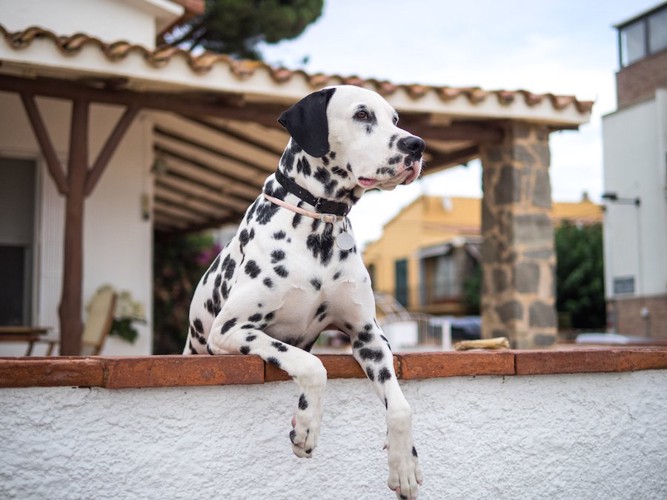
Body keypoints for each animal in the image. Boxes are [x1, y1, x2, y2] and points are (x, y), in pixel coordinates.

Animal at [185, 86, 426, 500]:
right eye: (362, 114)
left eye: (395, 119)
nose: (417, 145)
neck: (321, 224)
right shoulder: (231, 330)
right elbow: (313, 365)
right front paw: (307, 426)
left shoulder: (369, 337)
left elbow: (400, 406)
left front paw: (404, 464)